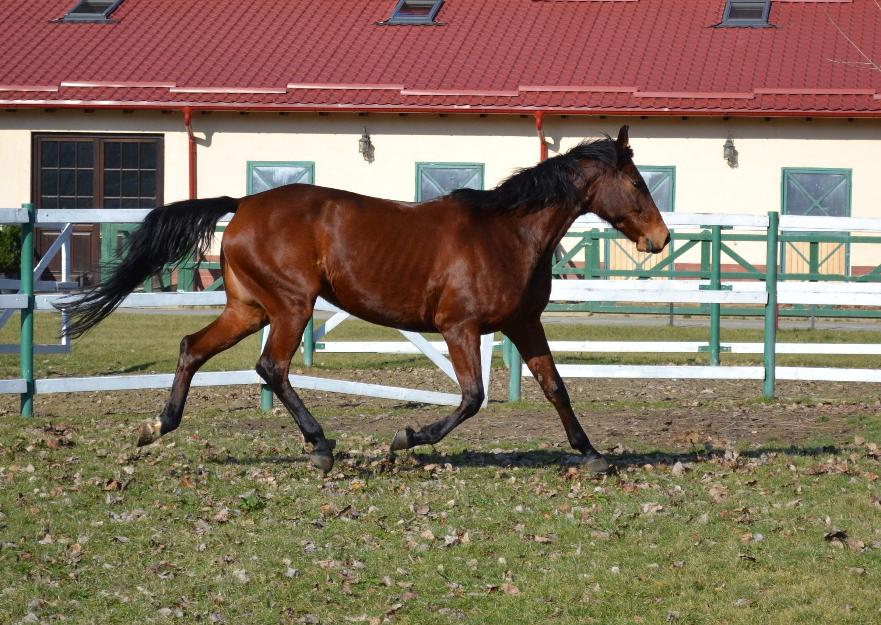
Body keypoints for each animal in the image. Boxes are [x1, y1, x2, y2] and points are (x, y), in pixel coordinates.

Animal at [56, 127, 668, 472]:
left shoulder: (523, 325)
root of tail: (244, 204)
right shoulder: (460, 327)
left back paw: (156, 427)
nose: (660, 239)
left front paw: (592, 456)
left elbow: (555, 387)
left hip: (248, 308)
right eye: (638, 184)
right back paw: (321, 446)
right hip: (290, 308)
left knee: (192, 347)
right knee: (271, 367)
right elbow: (472, 397)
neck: (508, 233)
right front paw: (404, 440)